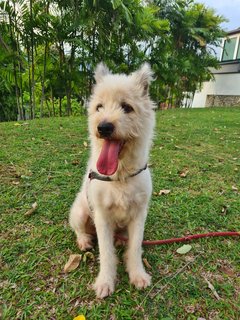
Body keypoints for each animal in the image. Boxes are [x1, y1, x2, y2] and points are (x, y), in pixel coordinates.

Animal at [69, 63, 156, 298]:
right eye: (99, 107)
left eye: (127, 107)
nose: (104, 127)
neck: (120, 176)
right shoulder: (101, 217)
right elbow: (107, 253)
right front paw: (105, 282)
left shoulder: (139, 215)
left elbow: (134, 248)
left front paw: (137, 274)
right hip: (80, 212)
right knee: (79, 229)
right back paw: (84, 241)